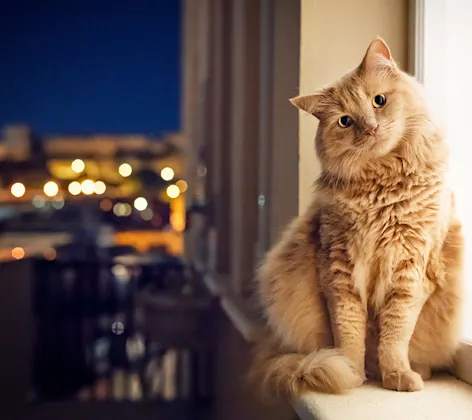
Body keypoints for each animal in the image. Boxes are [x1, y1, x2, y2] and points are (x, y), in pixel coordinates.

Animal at [251, 37, 464, 398]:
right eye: (345, 121)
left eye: (379, 101)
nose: (371, 128)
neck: (383, 188)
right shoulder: (339, 270)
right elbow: (349, 334)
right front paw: (350, 372)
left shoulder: (410, 270)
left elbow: (395, 336)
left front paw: (396, 374)